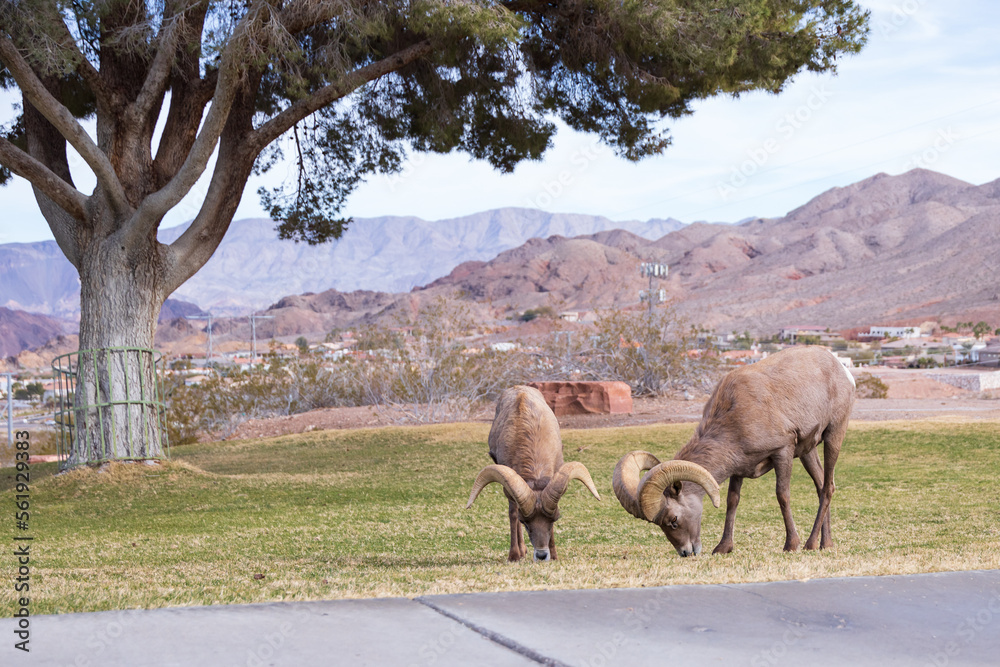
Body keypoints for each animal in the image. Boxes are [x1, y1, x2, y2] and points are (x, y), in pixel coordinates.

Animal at [467, 385, 601, 562]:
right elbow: (513, 514)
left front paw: (554, 556)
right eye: (525, 522)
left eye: (554, 519)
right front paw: (514, 556)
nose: (542, 555)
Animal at [613, 345, 855, 556]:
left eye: (673, 520)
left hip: (833, 435)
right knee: (822, 485)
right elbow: (732, 501)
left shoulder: (783, 451)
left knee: (827, 488)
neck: (734, 417)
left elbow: (782, 496)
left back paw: (810, 544)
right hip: (807, 451)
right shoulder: (738, 469)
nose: (686, 553)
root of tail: (841, 368)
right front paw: (723, 547)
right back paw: (825, 544)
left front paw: (791, 545)